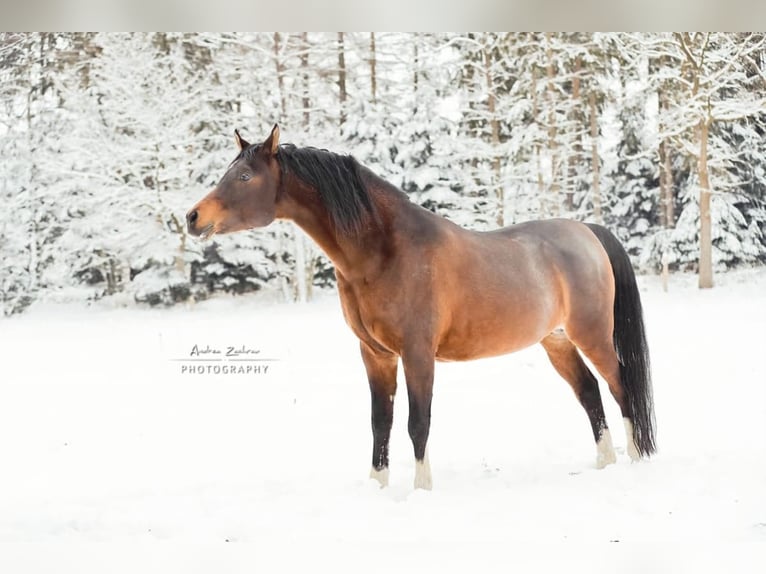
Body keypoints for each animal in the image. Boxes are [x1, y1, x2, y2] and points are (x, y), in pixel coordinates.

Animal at [189, 125, 656, 490]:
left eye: (245, 176)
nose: (193, 217)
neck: (386, 251)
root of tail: (587, 231)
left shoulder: (417, 354)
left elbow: (418, 422)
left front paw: (421, 488)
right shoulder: (375, 355)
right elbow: (381, 421)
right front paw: (377, 488)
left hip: (592, 336)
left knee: (620, 386)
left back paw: (634, 460)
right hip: (556, 341)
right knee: (589, 393)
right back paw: (604, 463)